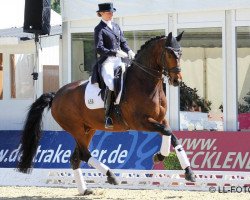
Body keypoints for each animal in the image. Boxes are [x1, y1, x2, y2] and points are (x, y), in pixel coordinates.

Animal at [17, 32, 195, 195]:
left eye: (180, 53)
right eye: (169, 53)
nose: (177, 80)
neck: (145, 83)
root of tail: (56, 95)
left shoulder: (160, 119)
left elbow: (171, 135)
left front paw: (183, 169)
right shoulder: (140, 122)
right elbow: (167, 132)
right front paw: (161, 157)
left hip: (88, 129)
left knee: (75, 158)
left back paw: (85, 190)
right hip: (75, 128)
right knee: (84, 154)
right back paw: (111, 175)